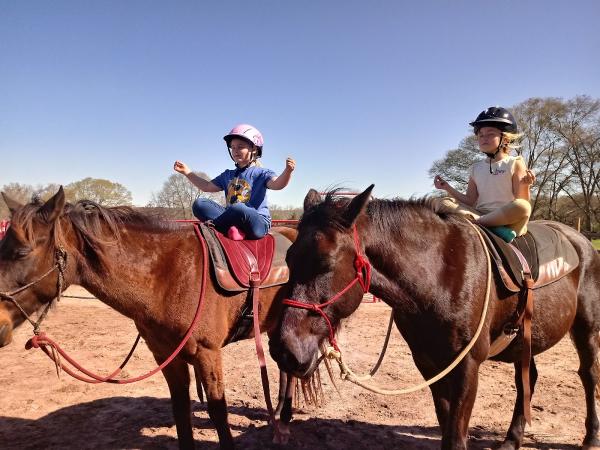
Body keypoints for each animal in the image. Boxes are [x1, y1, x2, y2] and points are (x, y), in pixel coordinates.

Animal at [0, 187, 298, 450]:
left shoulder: (207, 353)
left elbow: (219, 415)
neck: (169, 275)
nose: (0, 325)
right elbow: (181, 412)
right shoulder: (166, 356)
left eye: (22, 252)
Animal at [270, 184, 600, 450]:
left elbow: (455, 437)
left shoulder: (467, 366)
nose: (284, 350)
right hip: (524, 341)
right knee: (527, 378)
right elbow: (446, 427)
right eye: (288, 259)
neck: (439, 275)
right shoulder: (429, 364)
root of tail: (581, 240)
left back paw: (590, 437)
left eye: (326, 262)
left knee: (588, 374)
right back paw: (511, 439)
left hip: (586, 329)